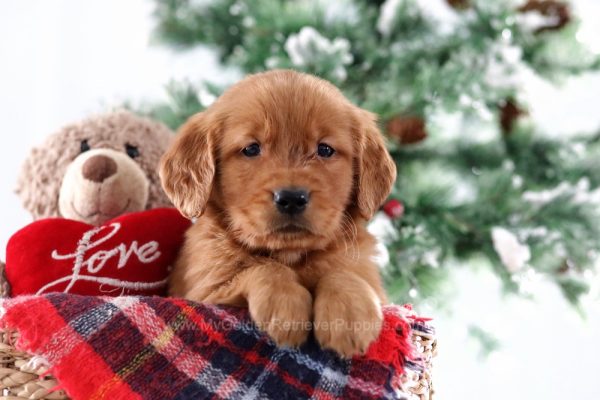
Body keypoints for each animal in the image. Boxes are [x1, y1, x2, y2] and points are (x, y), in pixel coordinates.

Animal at [161, 69, 398, 356]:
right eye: (251, 149)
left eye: (325, 149)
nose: (292, 199)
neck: (290, 255)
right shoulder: (205, 292)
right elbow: (260, 267)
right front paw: (286, 306)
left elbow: (342, 271)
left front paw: (349, 314)